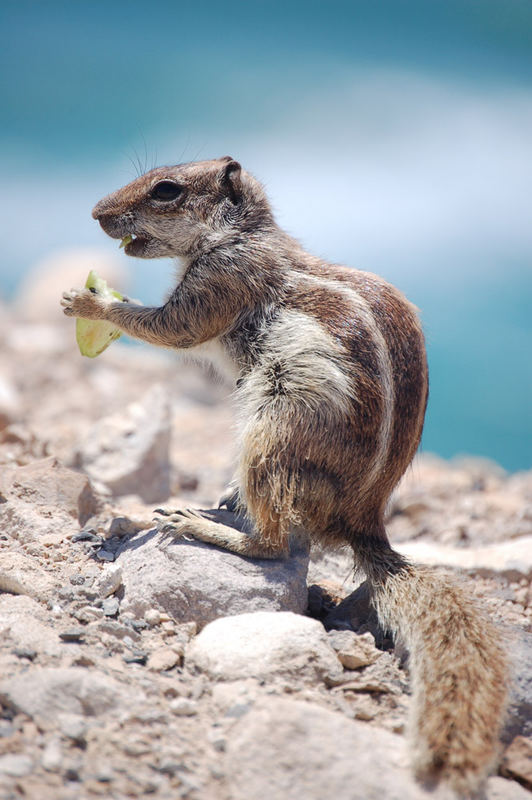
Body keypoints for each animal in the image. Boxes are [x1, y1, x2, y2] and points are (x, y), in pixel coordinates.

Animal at [62, 155, 508, 792]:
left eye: (166, 189)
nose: (97, 213)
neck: (237, 234)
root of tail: (361, 519)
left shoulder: (223, 279)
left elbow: (176, 328)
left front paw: (89, 303)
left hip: (273, 431)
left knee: (273, 543)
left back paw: (204, 525)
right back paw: (227, 500)